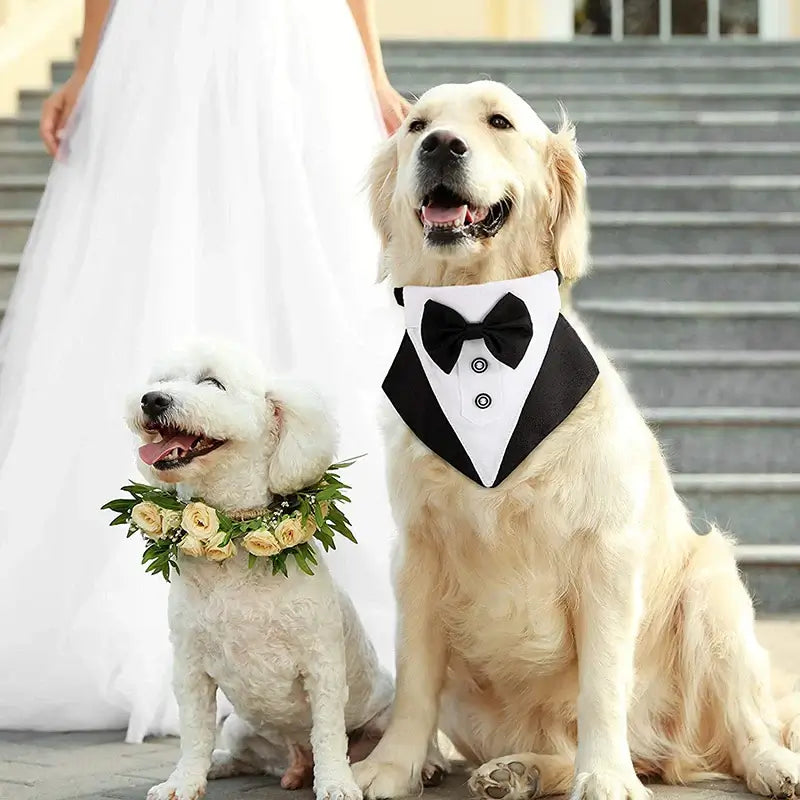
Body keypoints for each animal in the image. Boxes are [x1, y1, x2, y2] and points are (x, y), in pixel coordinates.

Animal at [126, 340, 392, 800]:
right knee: (242, 754)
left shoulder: (322, 666)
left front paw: (336, 784)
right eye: (161, 381)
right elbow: (194, 733)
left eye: (213, 383)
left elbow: (328, 734)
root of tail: (293, 760)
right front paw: (183, 781)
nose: (152, 400)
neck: (233, 540)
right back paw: (228, 764)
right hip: (239, 726)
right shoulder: (190, 667)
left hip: (384, 713)